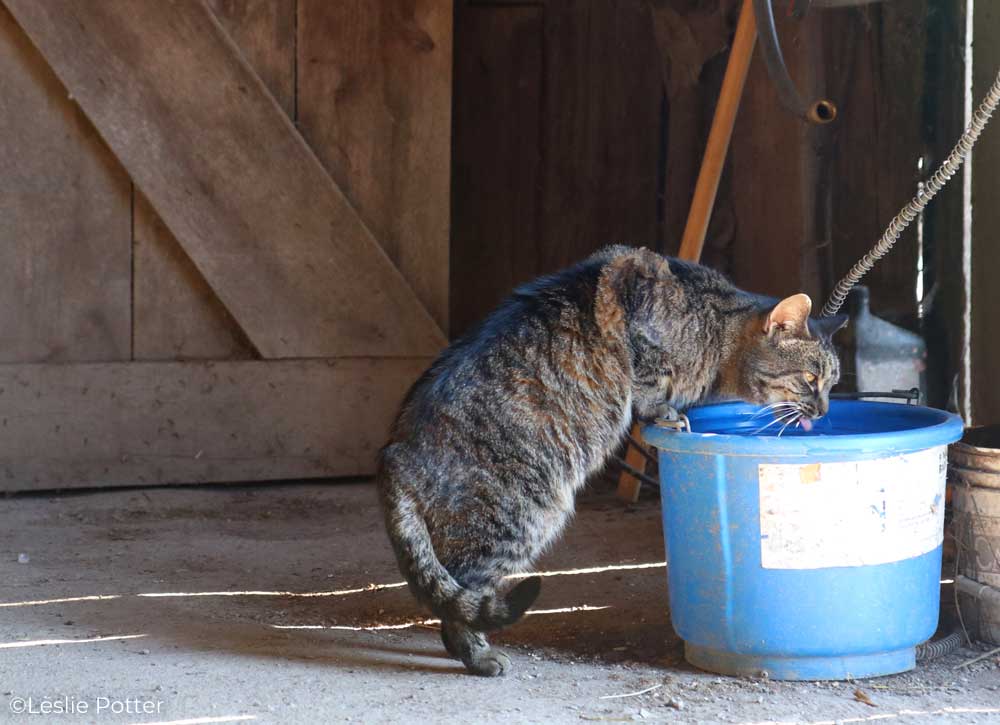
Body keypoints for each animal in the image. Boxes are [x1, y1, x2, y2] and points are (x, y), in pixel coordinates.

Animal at [376, 246, 844, 676]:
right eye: (810, 379)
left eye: (832, 382)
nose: (824, 411)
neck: (717, 336)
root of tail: (394, 452)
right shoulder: (636, 314)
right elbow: (650, 385)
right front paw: (665, 412)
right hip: (517, 517)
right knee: (462, 595)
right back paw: (478, 655)